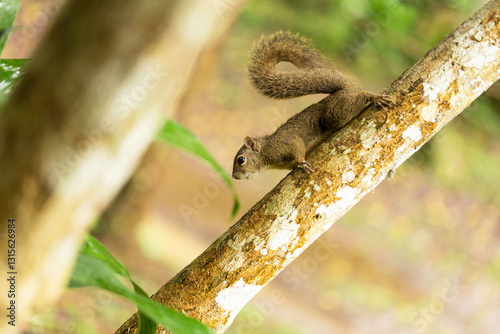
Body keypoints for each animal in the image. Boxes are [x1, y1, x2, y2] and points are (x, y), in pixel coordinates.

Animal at [232, 31, 392, 180]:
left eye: (241, 160)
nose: (234, 177)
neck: (266, 154)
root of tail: (348, 88)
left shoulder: (284, 144)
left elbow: (296, 146)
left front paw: (301, 163)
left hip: (335, 114)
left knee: (362, 96)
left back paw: (375, 97)